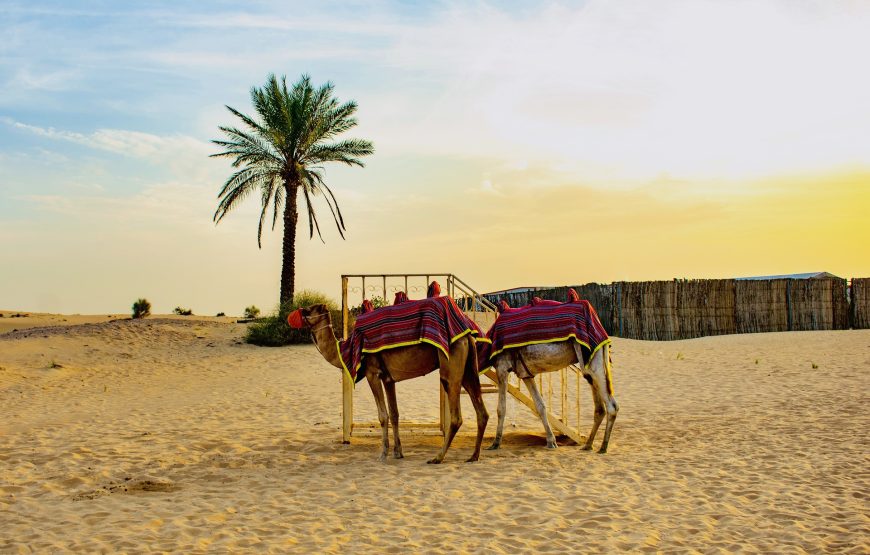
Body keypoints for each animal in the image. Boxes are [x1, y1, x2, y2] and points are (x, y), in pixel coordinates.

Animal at [288, 304, 488, 464]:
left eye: (308, 309)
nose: (293, 315)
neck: (345, 350)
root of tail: (467, 335)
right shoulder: (388, 379)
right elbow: (394, 414)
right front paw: (398, 452)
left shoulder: (373, 373)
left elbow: (383, 415)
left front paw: (383, 454)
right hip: (469, 369)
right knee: (482, 412)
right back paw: (474, 456)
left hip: (451, 366)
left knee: (456, 415)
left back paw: (438, 457)